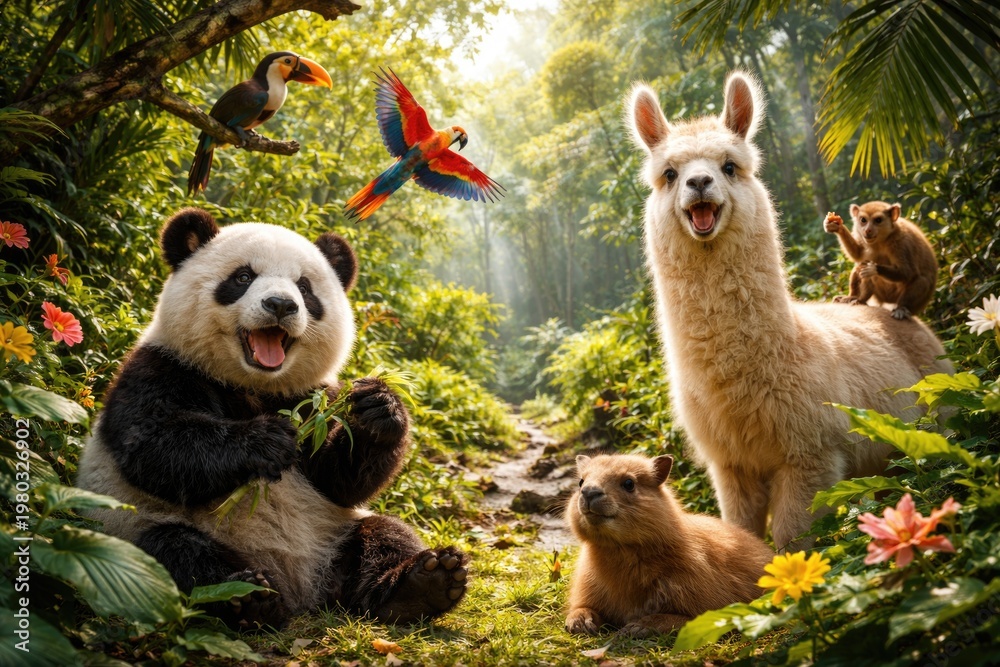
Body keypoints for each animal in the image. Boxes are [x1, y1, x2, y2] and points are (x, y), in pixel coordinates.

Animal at [77, 207, 468, 628]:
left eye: (305, 288)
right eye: (243, 277)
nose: (281, 305)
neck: (256, 385)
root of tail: (301, 591)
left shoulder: (316, 397)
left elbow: (340, 480)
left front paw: (379, 408)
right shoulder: (160, 367)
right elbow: (154, 445)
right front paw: (268, 440)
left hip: (334, 530)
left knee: (383, 534)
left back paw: (423, 585)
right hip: (133, 531)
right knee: (176, 552)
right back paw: (247, 598)